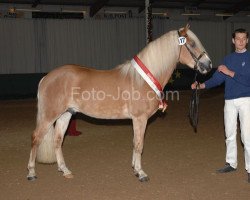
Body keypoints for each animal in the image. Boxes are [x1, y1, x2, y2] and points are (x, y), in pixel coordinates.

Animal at [26, 24, 211, 181]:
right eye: (192, 43)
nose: (208, 65)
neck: (142, 80)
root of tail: (46, 77)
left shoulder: (137, 120)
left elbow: (135, 143)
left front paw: (135, 169)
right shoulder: (140, 118)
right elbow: (139, 144)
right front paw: (141, 173)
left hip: (66, 114)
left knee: (57, 140)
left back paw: (65, 171)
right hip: (50, 115)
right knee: (36, 137)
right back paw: (31, 173)